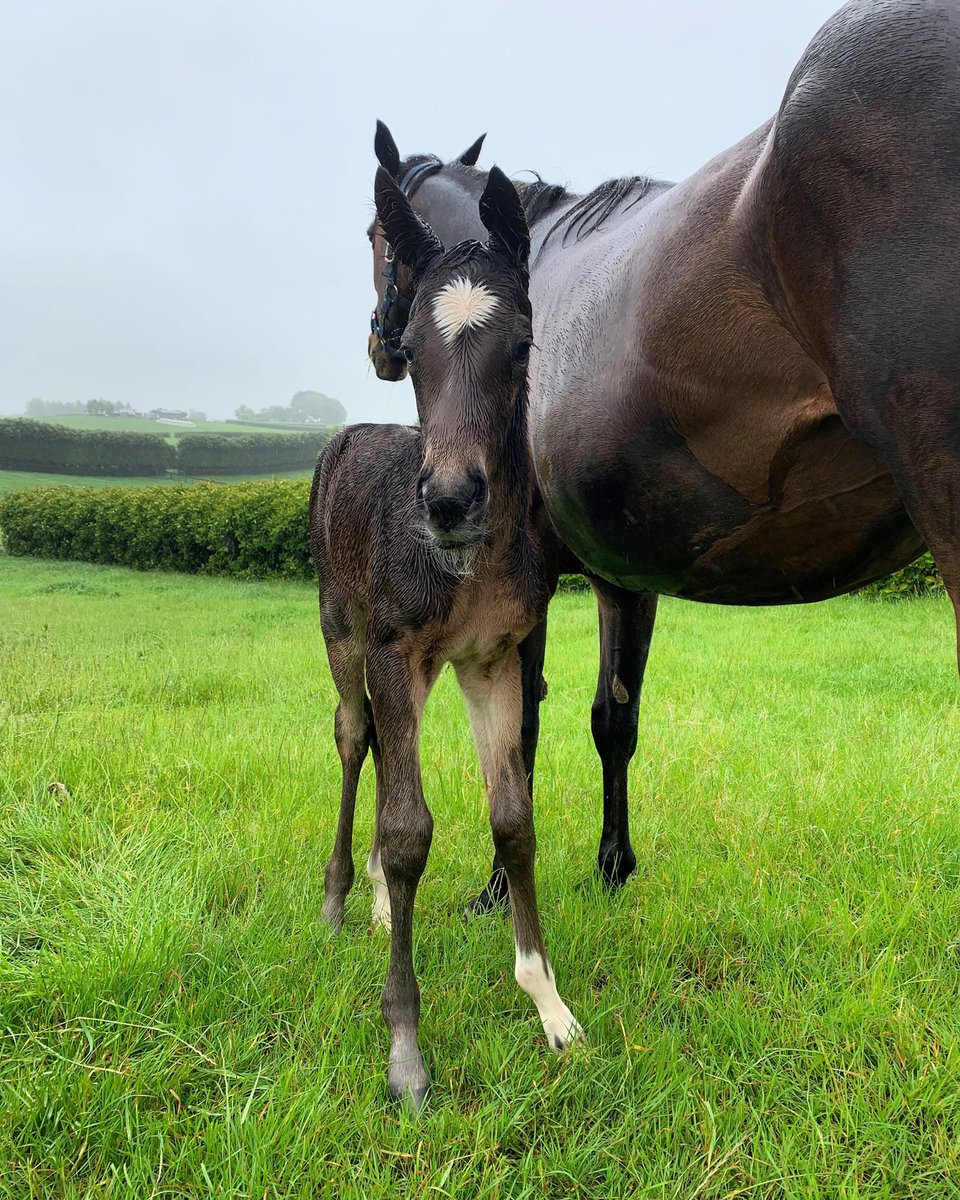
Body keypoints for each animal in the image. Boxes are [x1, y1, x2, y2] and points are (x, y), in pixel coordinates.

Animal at [311, 166, 581, 1107]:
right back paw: (338, 901)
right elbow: (408, 833)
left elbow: (513, 818)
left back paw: (378, 904)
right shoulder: (397, 651)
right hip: (344, 630)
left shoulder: (493, 660)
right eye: (416, 354)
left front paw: (549, 1005)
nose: (451, 500)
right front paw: (406, 1050)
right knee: (356, 737)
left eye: (521, 347)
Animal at [365, 0, 959, 909]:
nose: (380, 347)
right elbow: (614, 717)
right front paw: (613, 863)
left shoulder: (526, 566)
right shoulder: (624, 573)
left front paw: (500, 887)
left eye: (373, 235)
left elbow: (519, 723)